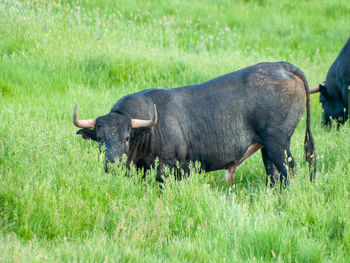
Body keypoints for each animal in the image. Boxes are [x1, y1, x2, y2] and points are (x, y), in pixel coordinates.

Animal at [74, 61, 318, 188]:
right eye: (100, 139)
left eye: (126, 137)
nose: (111, 164)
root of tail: (282, 66)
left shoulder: (168, 169)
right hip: (266, 147)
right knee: (273, 174)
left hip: (278, 143)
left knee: (288, 171)